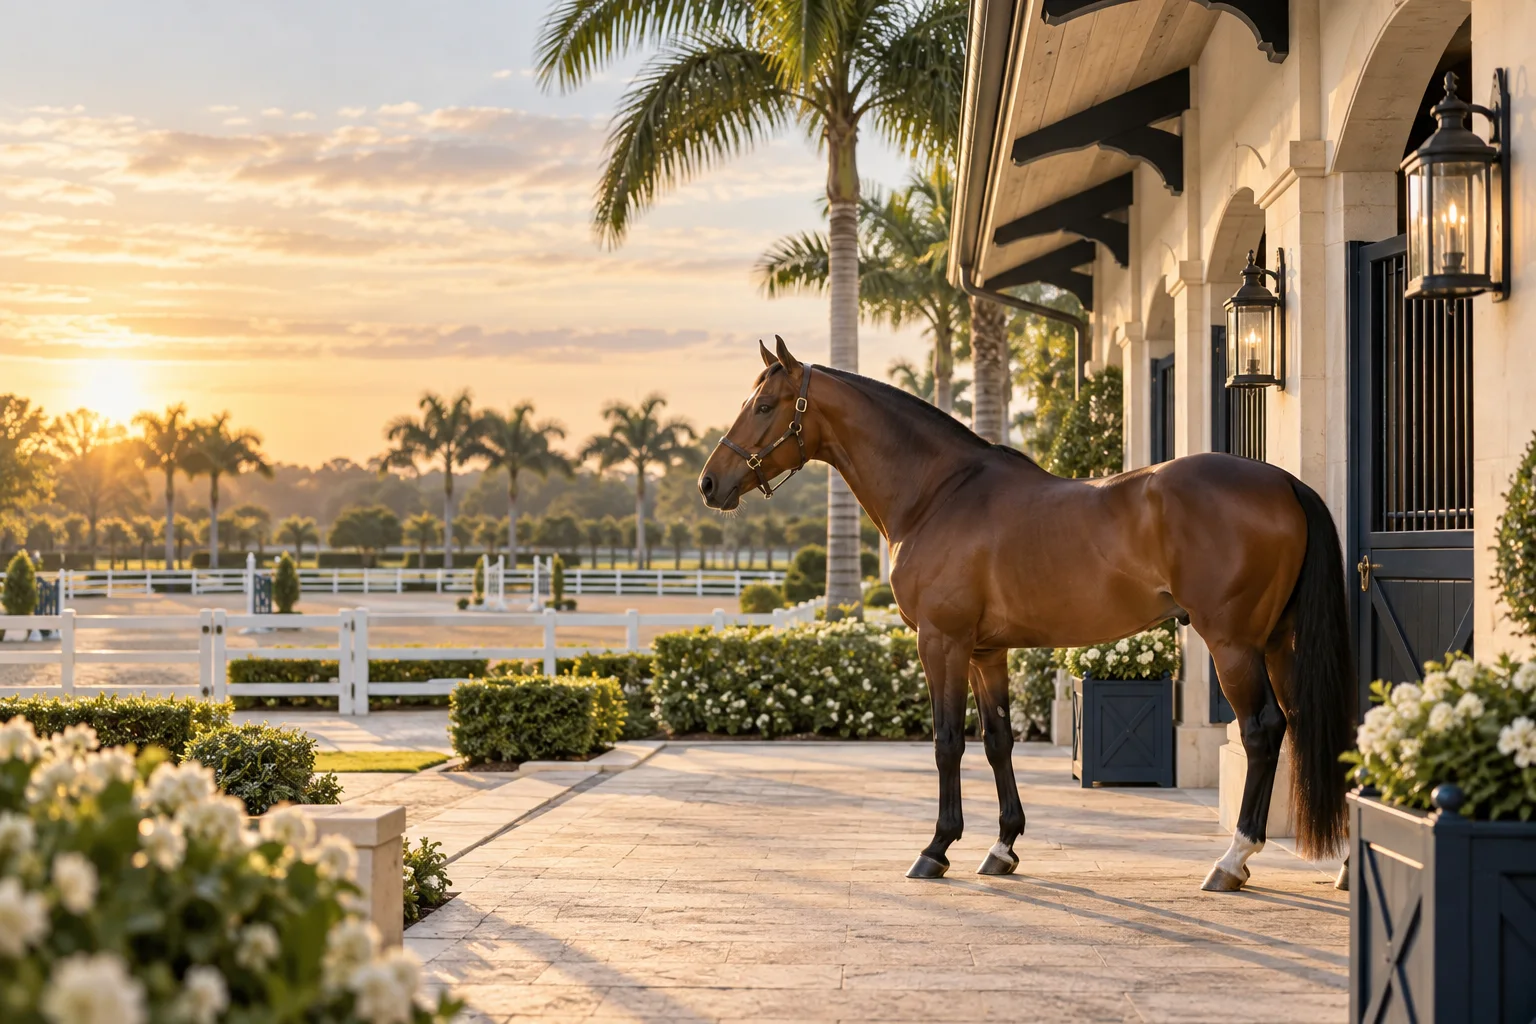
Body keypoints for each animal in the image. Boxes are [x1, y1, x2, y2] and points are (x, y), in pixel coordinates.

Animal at [697, 337, 1356, 892]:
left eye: (763, 405)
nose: (709, 484)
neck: (939, 494)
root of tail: (1283, 482)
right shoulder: (987, 651)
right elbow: (998, 742)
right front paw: (1003, 848)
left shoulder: (942, 642)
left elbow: (946, 742)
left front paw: (936, 849)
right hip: (1279, 642)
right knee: (1313, 728)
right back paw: (1345, 863)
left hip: (1234, 644)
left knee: (1262, 730)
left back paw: (1232, 859)